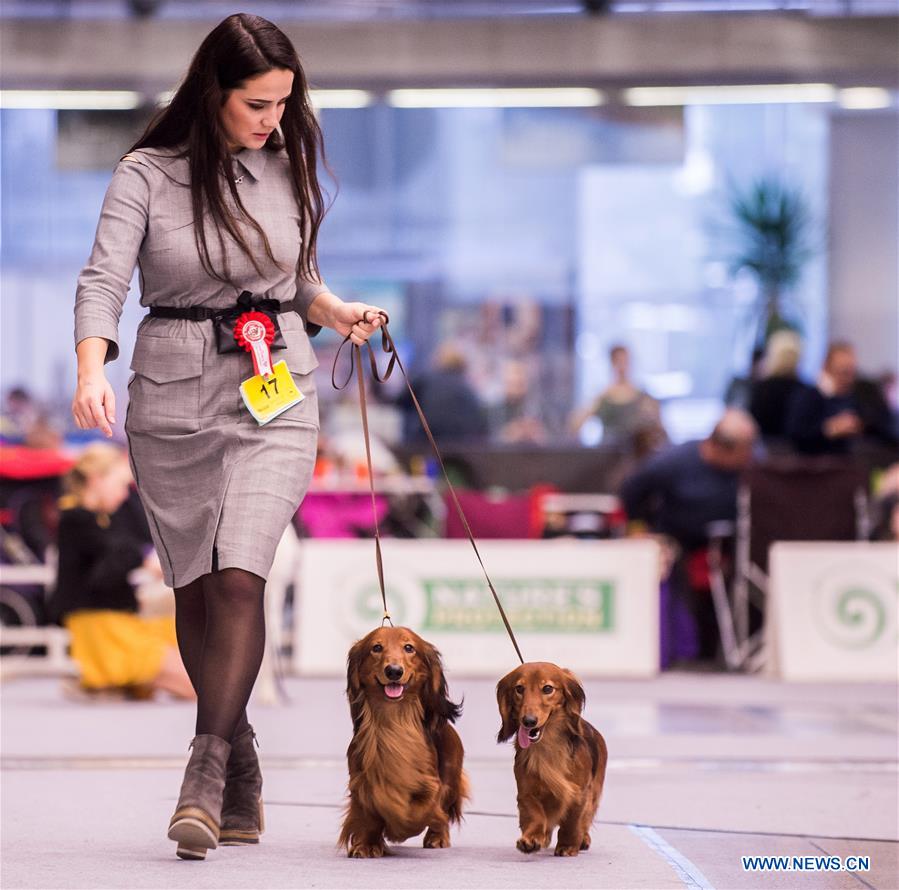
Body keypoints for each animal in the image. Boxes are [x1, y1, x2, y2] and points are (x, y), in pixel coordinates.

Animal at [338, 624, 472, 852]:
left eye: (409, 647)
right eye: (376, 647)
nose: (394, 671)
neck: (393, 722)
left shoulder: (429, 782)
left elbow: (419, 811)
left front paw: (399, 829)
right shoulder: (361, 780)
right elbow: (368, 812)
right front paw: (366, 844)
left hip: (450, 776)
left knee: (443, 809)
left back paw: (437, 836)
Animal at [496, 660, 608, 852]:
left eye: (547, 688)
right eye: (519, 688)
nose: (529, 721)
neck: (548, 746)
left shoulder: (579, 792)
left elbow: (573, 820)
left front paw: (568, 845)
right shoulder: (526, 791)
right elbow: (535, 814)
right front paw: (531, 839)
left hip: (595, 791)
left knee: (586, 818)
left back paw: (583, 839)